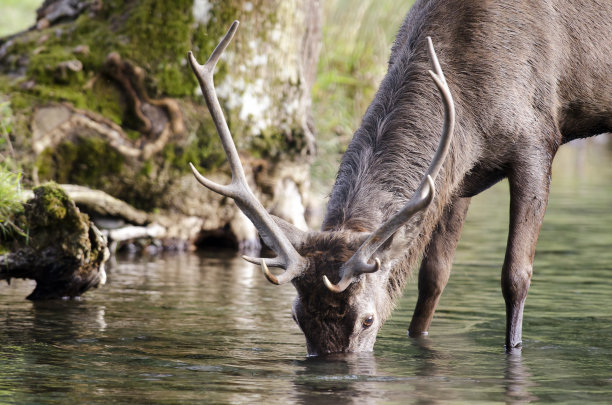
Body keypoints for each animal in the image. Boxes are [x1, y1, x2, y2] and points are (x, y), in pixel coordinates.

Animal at [188, 0, 612, 354]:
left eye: (367, 319)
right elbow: (433, 278)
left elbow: (516, 275)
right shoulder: (458, 176)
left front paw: (514, 348)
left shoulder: (537, 143)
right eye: (296, 316)